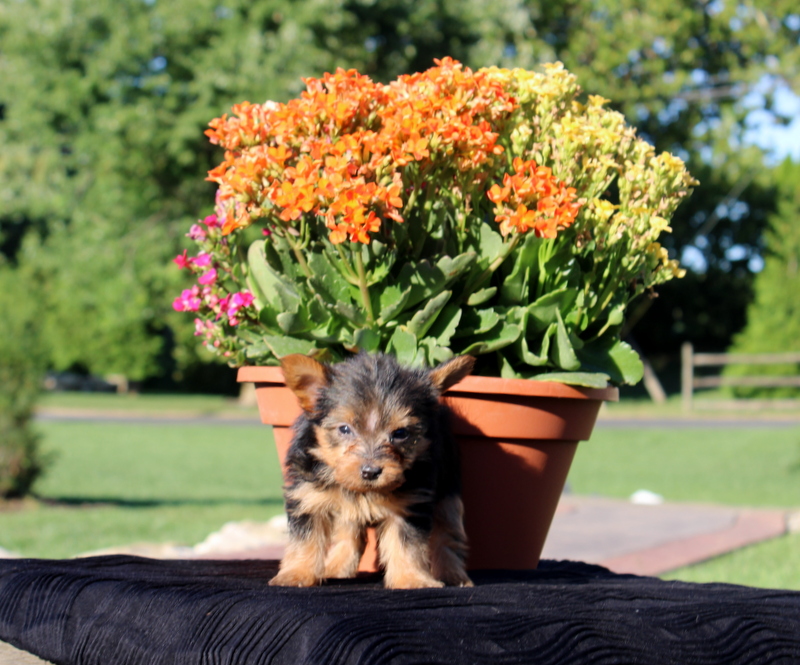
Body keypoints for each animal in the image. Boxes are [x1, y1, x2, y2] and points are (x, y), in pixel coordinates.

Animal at [268, 352, 476, 588]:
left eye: (400, 433)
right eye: (344, 429)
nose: (370, 472)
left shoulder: (409, 503)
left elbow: (407, 544)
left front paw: (412, 578)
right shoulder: (308, 497)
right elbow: (305, 539)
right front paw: (297, 573)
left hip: (448, 487)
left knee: (447, 532)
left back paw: (453, 574)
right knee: (347, 534)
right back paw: (337, 566)